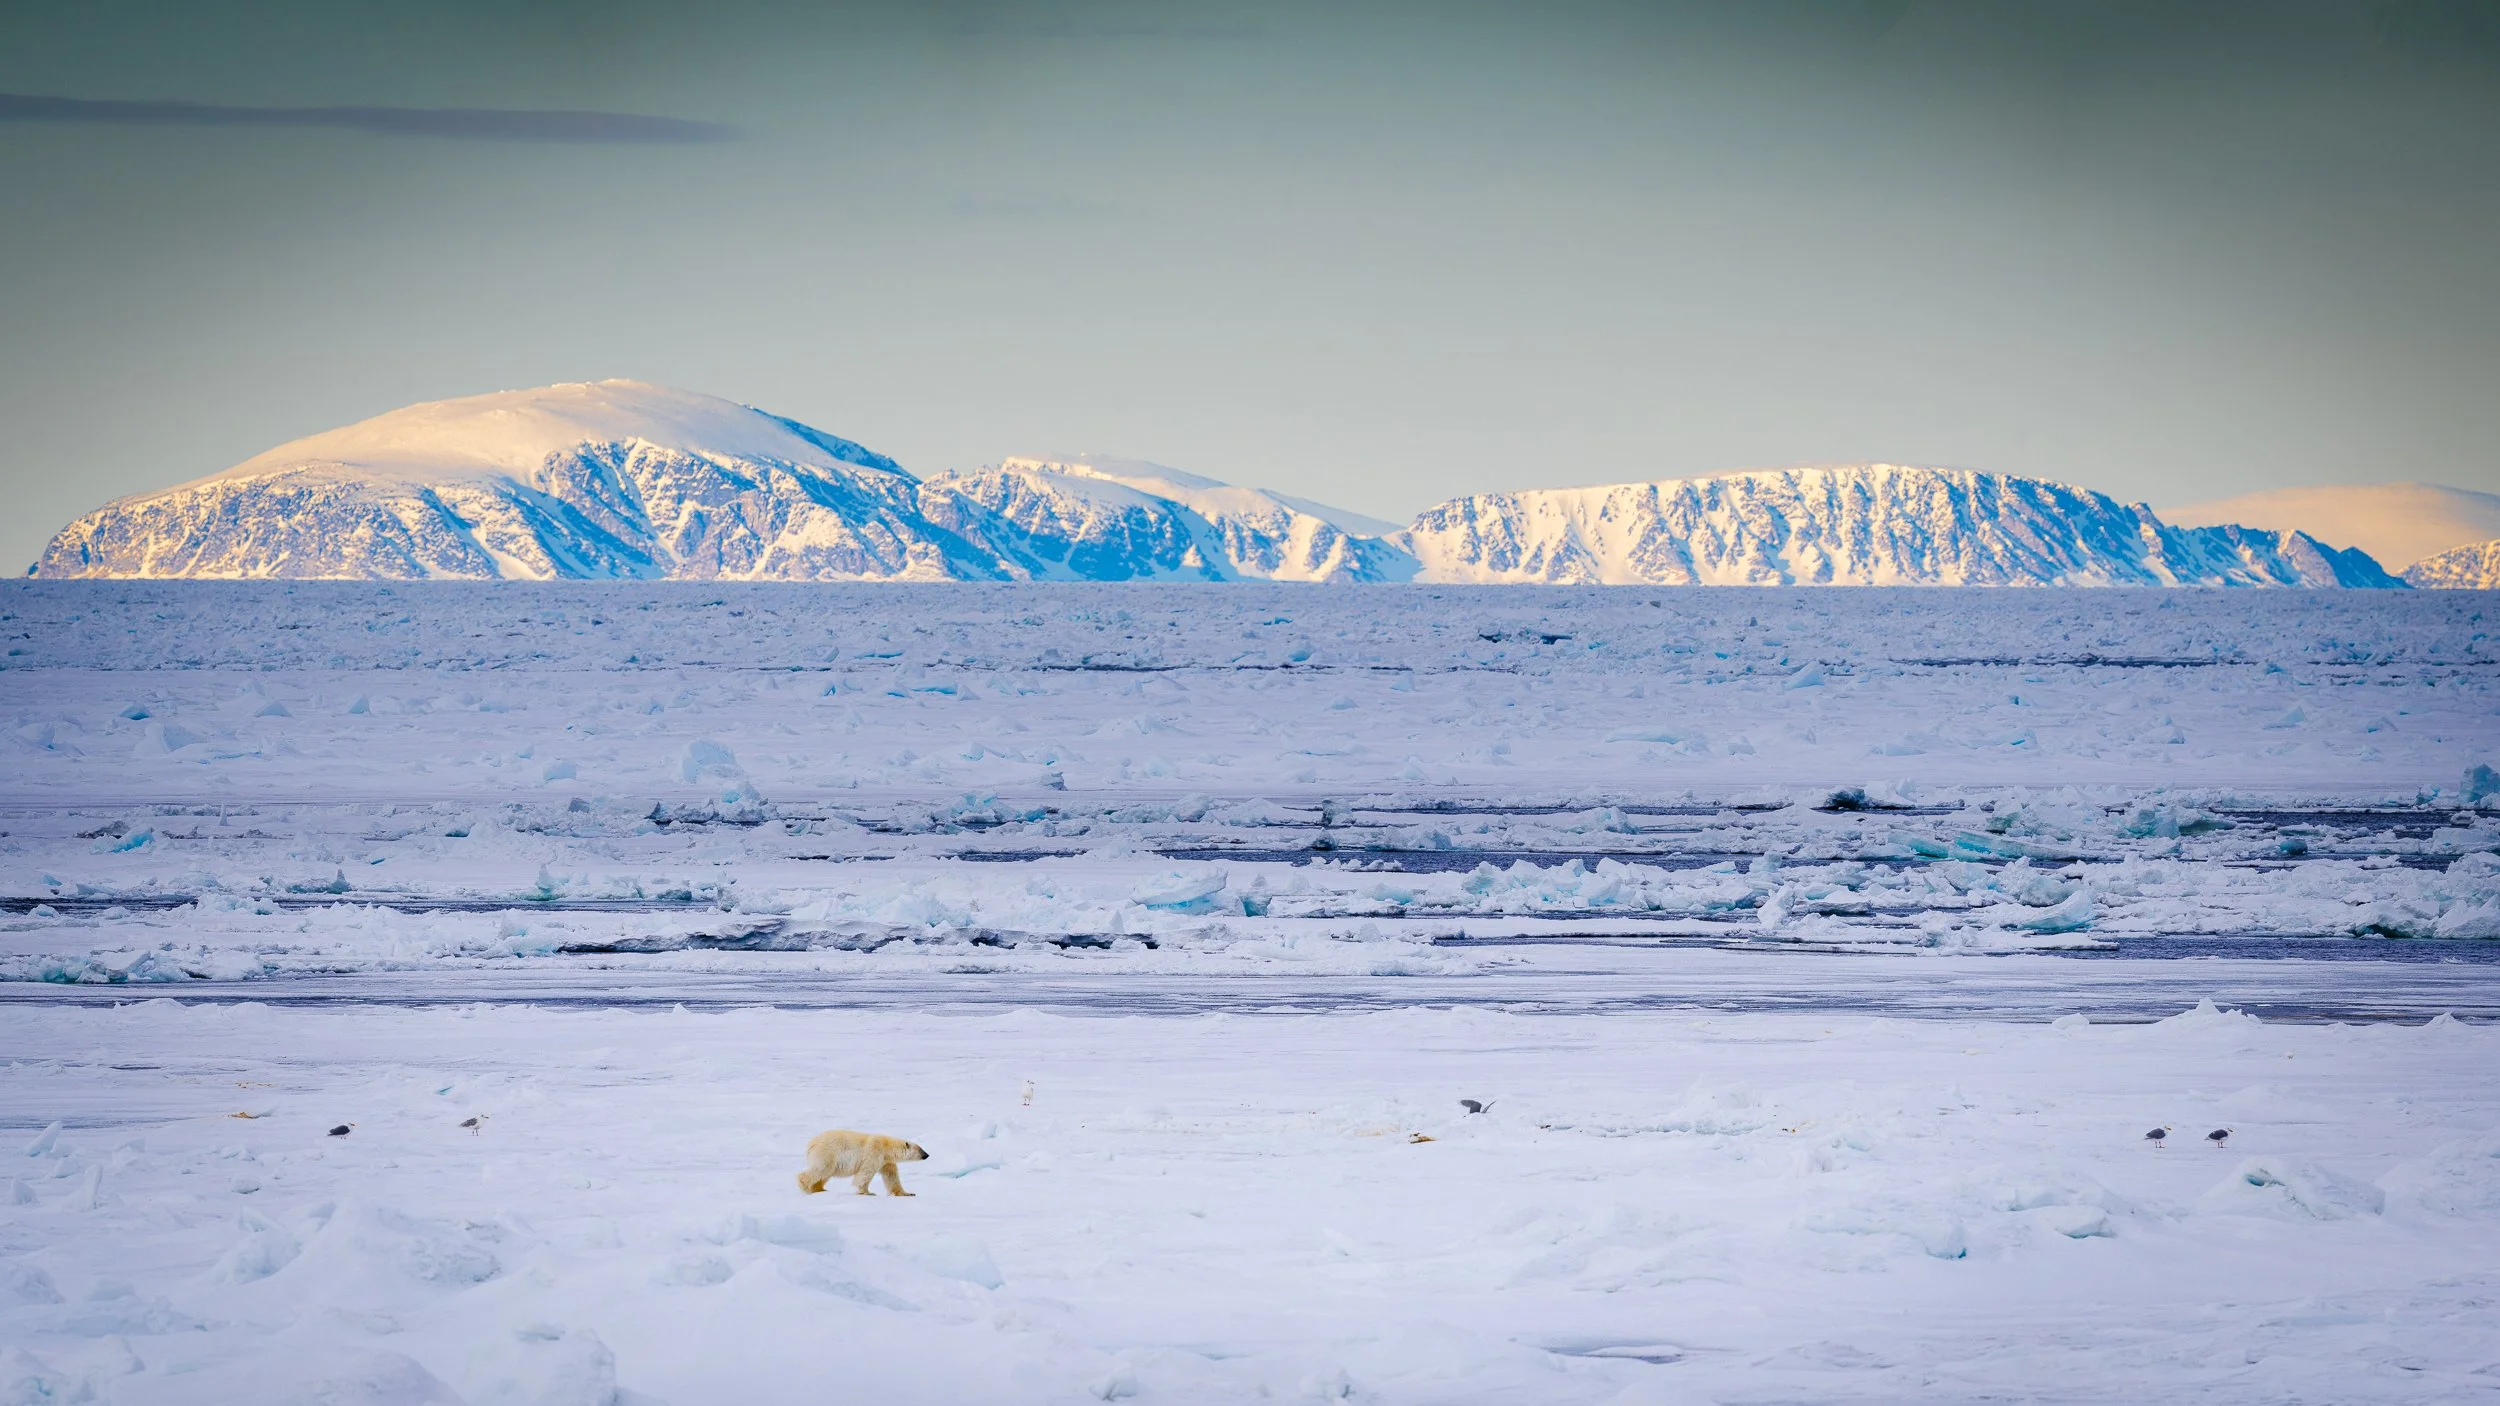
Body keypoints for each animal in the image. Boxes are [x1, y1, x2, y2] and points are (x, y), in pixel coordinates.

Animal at [797, 1129, 929, 1197]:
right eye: (920, 1149)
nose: (927, 1155)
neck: (887, 1146)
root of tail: (811, 1144)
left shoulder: (887, 1161)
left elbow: (891, 1176)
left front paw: (907, 1193)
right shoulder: (874, 1151)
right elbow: (866, 1172)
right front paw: (867, 1192)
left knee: (824, 1174)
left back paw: (820, 1189)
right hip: (827, 1153)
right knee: (821, 1169)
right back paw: (806, 1187)